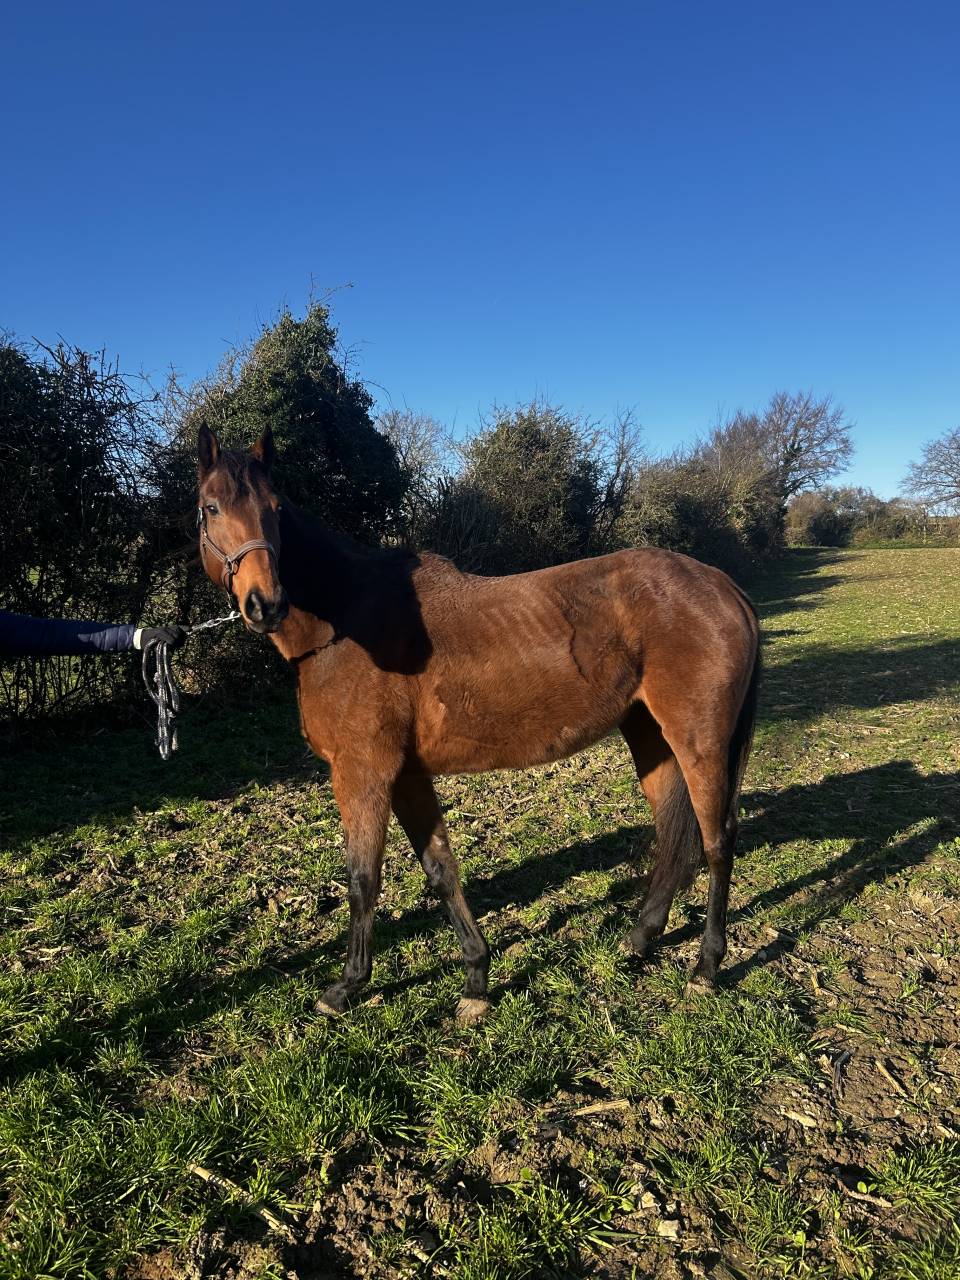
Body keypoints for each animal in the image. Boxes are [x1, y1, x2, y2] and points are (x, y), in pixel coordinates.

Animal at [195, 424, 760, 1023]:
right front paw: (475, 978)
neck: (347, 624)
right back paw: (639, 940)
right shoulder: (407, 776)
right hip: (652, 737)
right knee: (674, 836)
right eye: (211, 507)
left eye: (275, 510)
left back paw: (706, 967)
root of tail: (723, 586)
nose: (266, 604)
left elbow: (363, 881)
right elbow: (441, 871)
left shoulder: (363, 773)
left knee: (717, 840)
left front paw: (347, 986)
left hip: (700, 742)